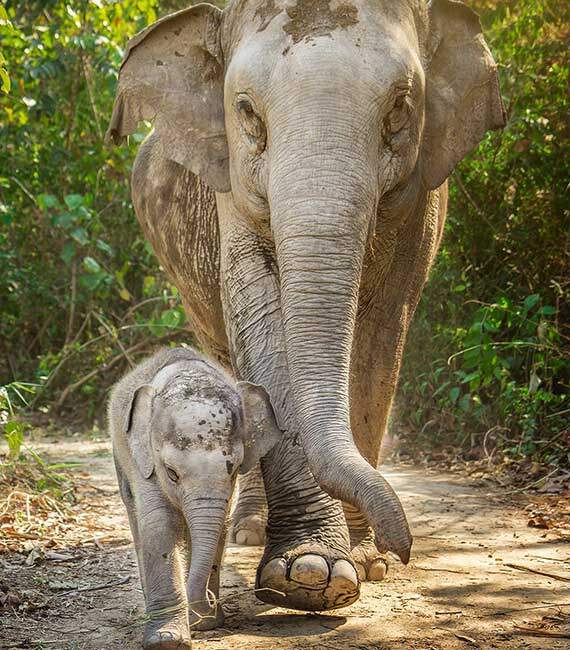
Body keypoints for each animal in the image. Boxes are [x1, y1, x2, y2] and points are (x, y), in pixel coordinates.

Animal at [106, 0, 502, 612]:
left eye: (400, 108)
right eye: (246, 111)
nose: (404, 547)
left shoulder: (422, 200)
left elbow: (380, 339)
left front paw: (364, 560)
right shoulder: (230, 194)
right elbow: (261, 320)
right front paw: (308, 573)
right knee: (226, 355)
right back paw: (248, 530)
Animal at [107, 346, 280, 644]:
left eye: (234, 469)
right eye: (171, 473)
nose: (209, 601)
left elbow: (219, 528)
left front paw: (204, 623)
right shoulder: (145, 464)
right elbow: (160, 524)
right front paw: (167, 640)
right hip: (121, 456)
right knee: (134, 512)